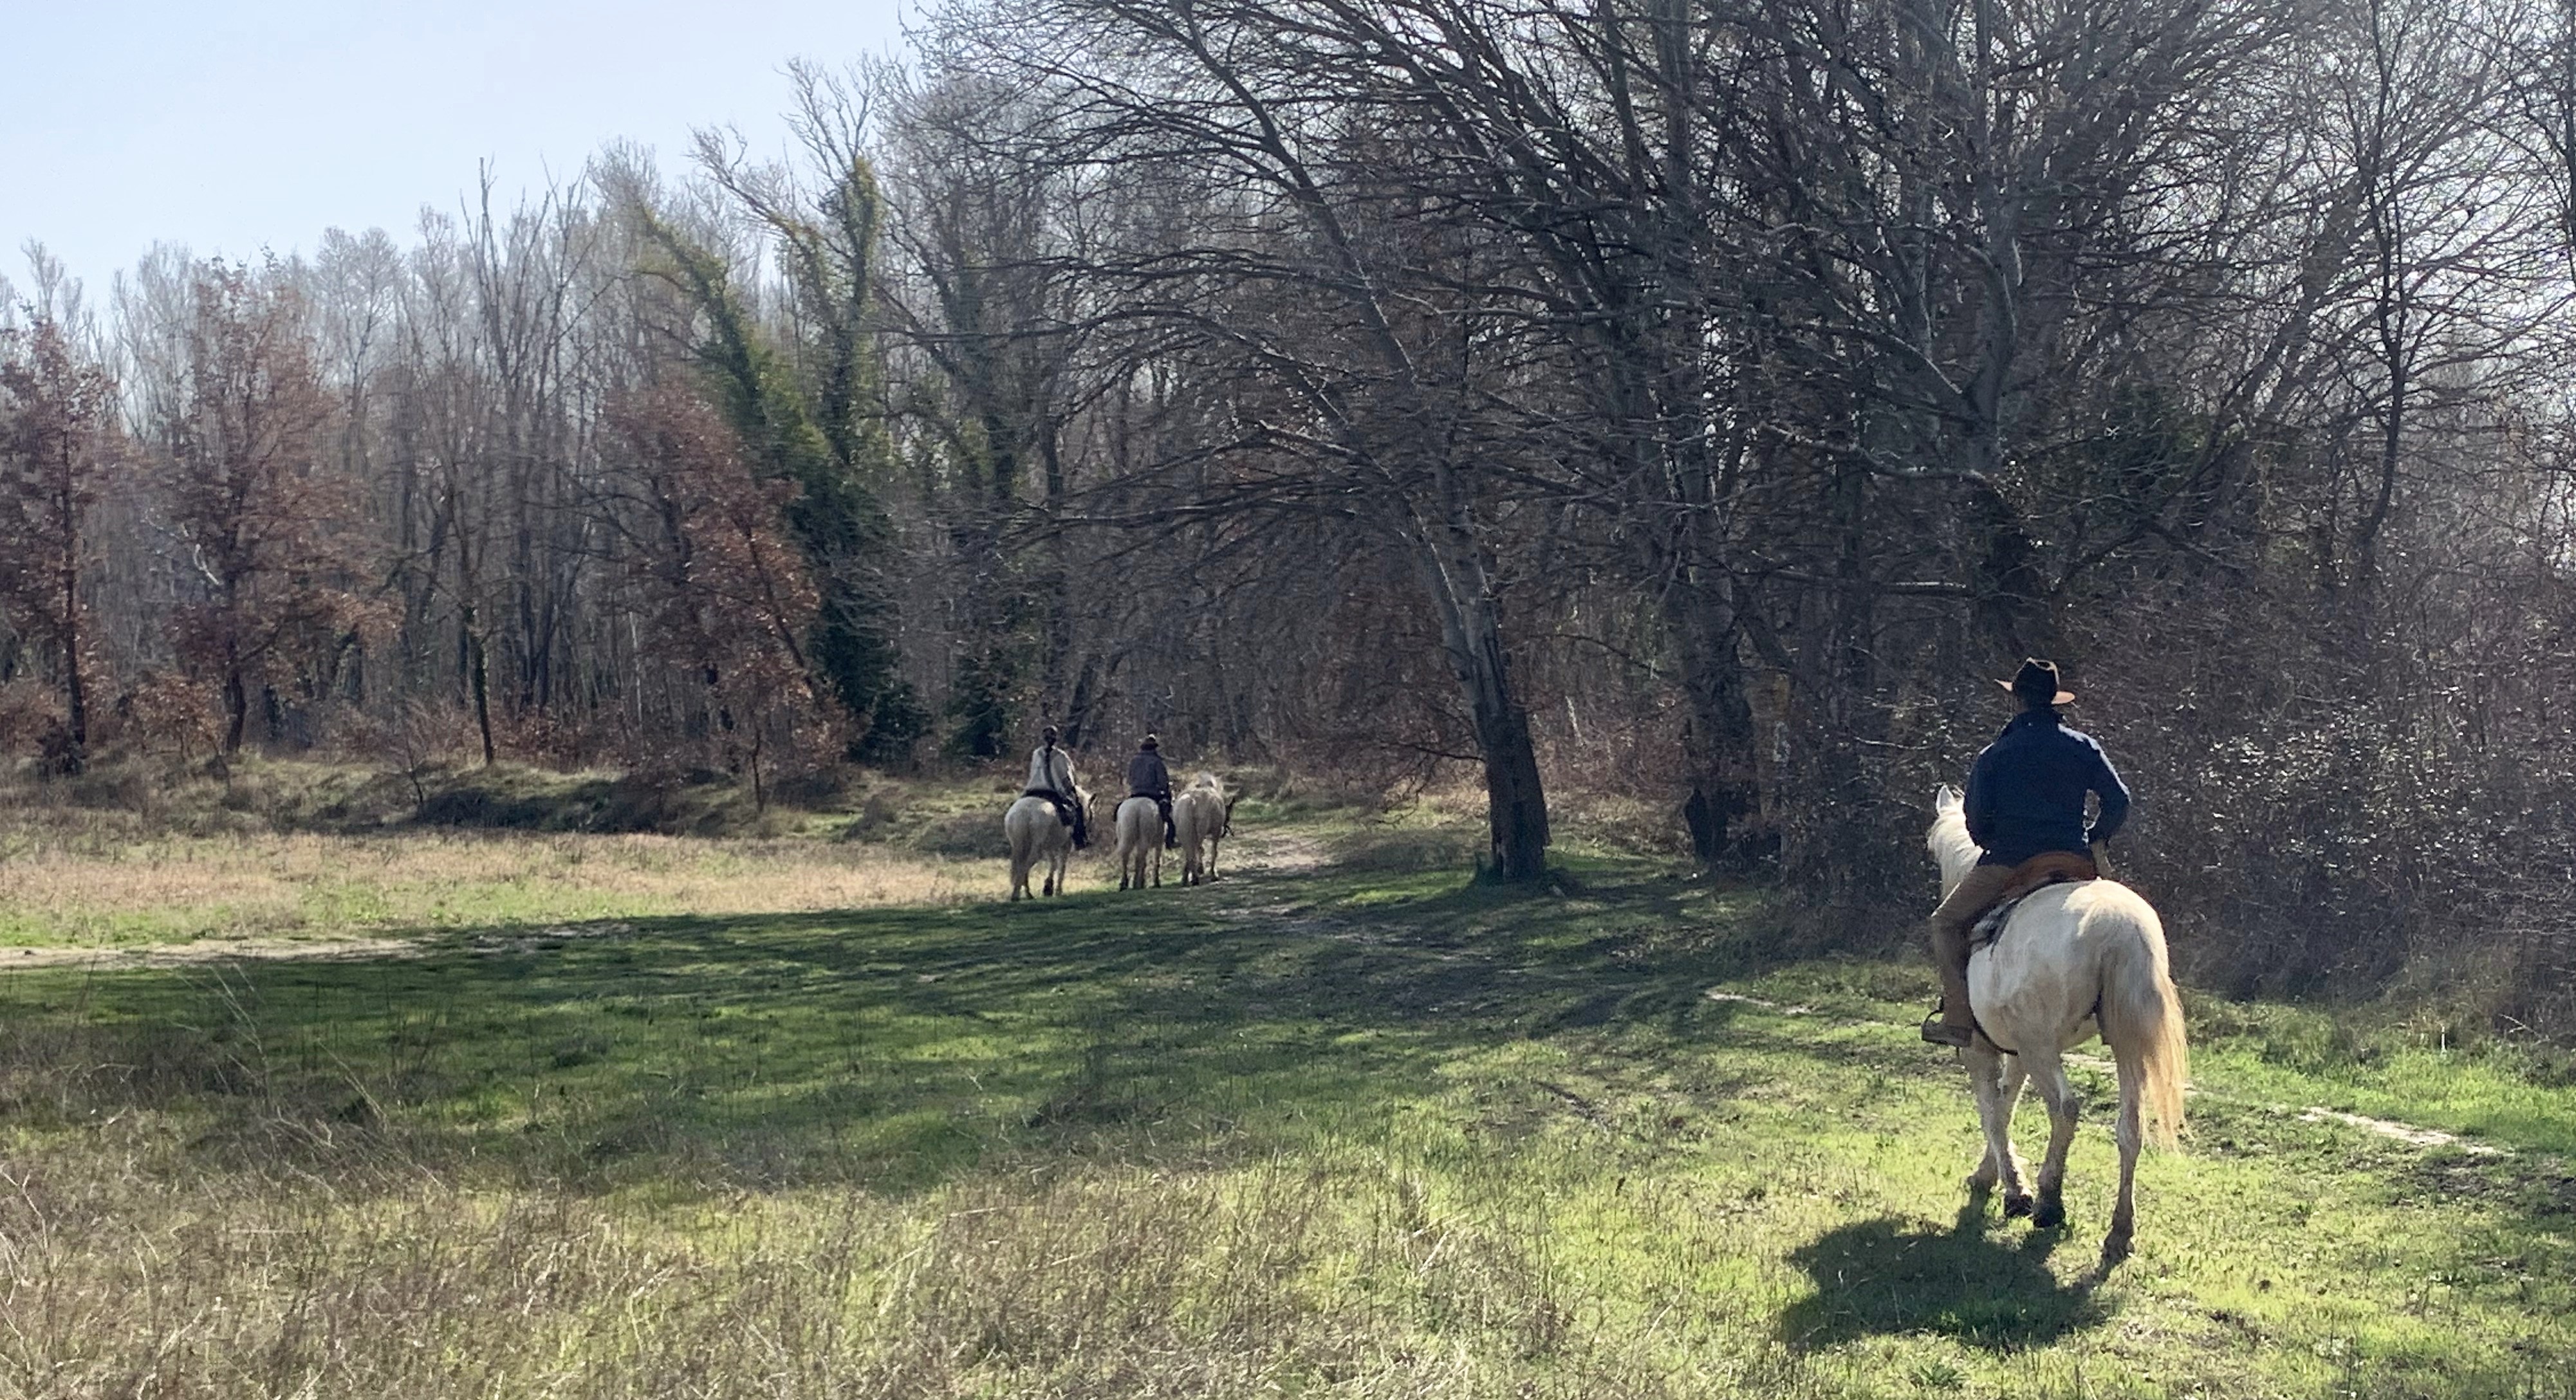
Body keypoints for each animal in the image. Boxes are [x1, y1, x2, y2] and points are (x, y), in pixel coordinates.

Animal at [1006, 778, 1088, 900]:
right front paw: (1057, 890)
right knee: (1025, 865)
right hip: (1037, 848)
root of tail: (1024, 812)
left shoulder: (1048, 848)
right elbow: (1061, 866)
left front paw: (1048, 888)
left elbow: (1053, 864)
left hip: (1020, 845)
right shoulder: (1065, 846)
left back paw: (1025, 894)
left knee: (1021, 864)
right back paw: (1017, 894)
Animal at [1113, 795, 1165, 891]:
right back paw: (1138, 883)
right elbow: (1156, 862)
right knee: (1140, 858)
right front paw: (1156, 883)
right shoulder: (1159, 844)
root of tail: (1136, 809)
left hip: (1126, 836)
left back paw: (1124, 884)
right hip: (1145, 838)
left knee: (1125, 857)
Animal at [1173, 774, 1239, 885]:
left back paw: (1186, 878)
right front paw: (1213, 874)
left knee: (1189, 853)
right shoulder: (1216, 831)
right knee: (1195, 851)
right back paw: (1195, 878)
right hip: (1200, 832)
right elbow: (1214, 852)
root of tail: (1192, 802)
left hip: (1184, 832)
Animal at [1926, 784, 2188, 1257]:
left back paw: (2049, 1201)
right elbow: (2007, 1103)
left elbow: (1991, 1110)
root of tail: (2116, 929)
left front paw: (2014, 1190)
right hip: (2124, 1046)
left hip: (2042, 1048)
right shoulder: (2016, 1051)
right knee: (2130, 1129)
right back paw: (2120, 1231)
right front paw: (1990, 1175)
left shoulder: (1983, 1047)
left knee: (2065, 1109)